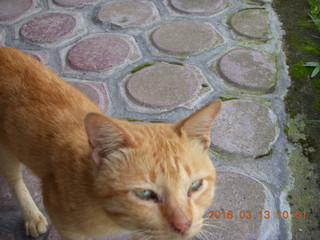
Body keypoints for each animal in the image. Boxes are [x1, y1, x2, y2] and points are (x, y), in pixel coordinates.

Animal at [0, 47, 220, 240]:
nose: (183, 225)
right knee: (14, 180)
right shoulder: (65, 224)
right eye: (144, 194)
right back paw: (31, 215)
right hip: (7, 152)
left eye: (195, 185)